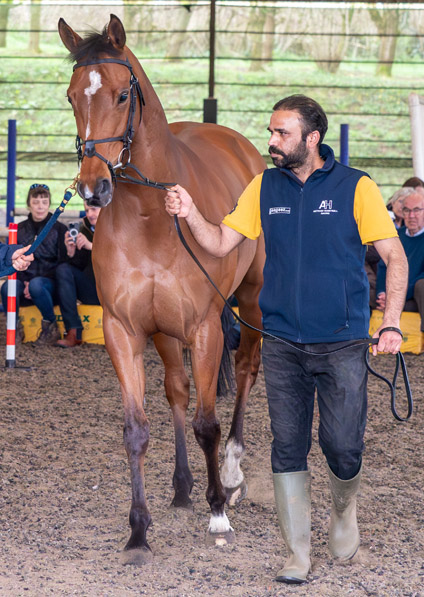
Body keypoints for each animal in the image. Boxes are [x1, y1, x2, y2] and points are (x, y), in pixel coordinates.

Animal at [58, 14, 264, 564]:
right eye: (71, 96)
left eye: (121, 95)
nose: (93, 188)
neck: (150, 214)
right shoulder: (124, 330)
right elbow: (137, 430)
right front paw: (138, 530)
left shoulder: (204, 328)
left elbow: (207, 423)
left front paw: (218, 510)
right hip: (166, 334)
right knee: (177, 388)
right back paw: (182, 485)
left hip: (251, 299)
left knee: (245, 369)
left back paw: (230, 471)